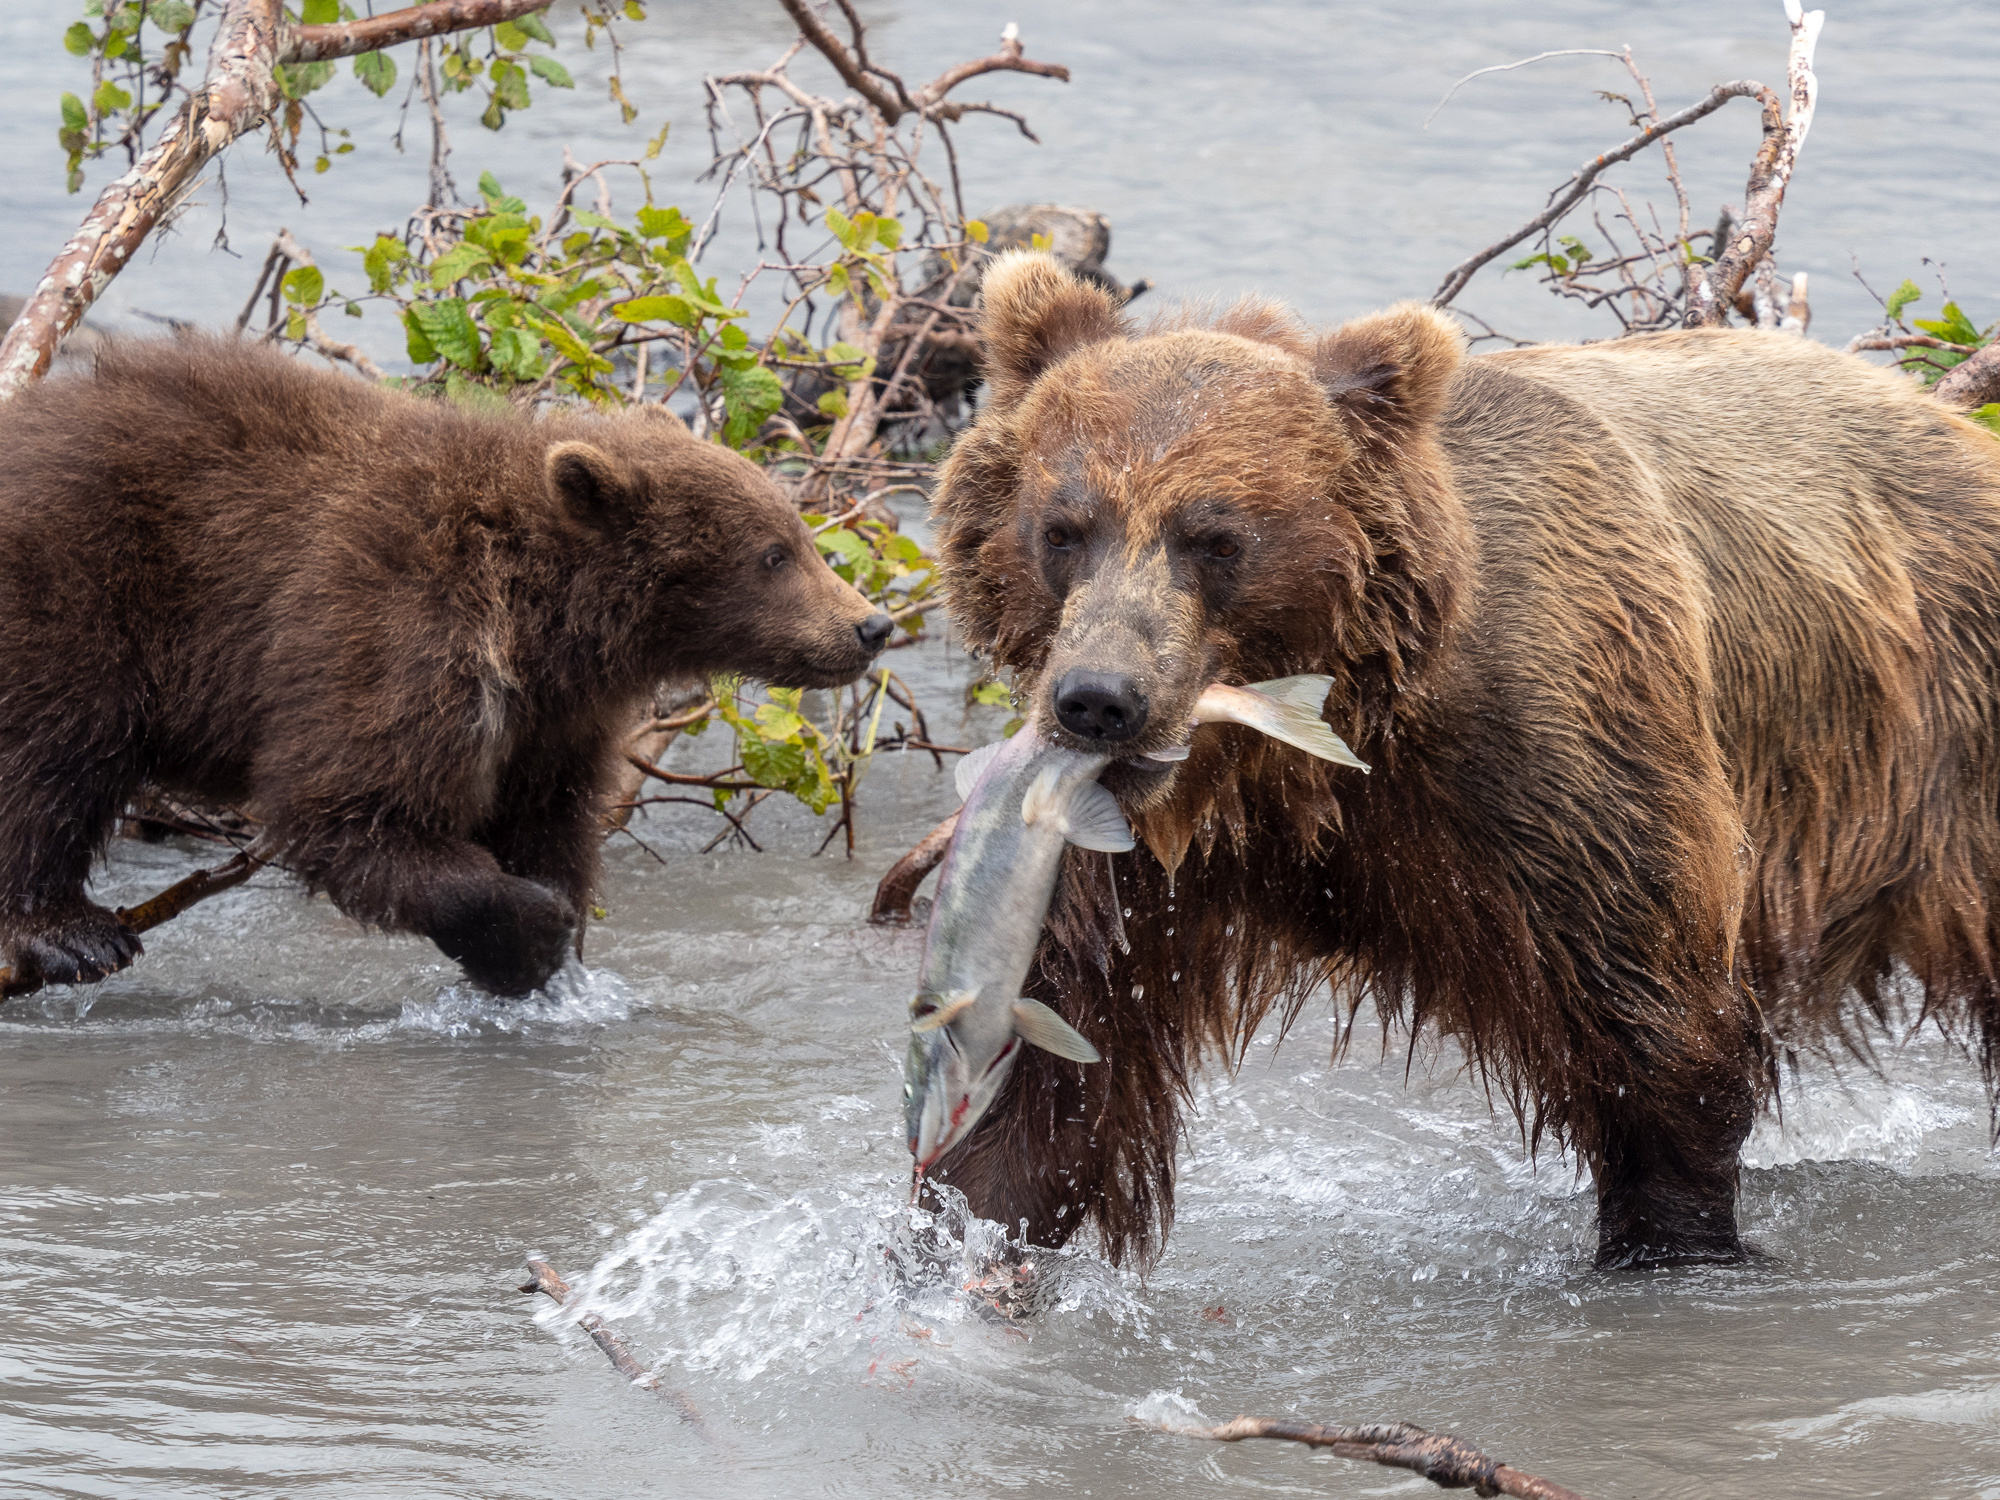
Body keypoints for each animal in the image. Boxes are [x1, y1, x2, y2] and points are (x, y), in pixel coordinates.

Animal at [0, 338, 892, 1000]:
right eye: (773, 554)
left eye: (798, 535)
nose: (871, 625)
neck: (543, 619)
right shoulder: (395, 632)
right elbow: (351, 809)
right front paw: (533, 934)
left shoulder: (551, 720)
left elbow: (548, 817)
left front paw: (553, 943)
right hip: (76, 594)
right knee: (50, 759)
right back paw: (74, 935)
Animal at [928, 253, 2000, 1272]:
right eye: (1063, 527)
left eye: (1218, 538)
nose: (1099, 700)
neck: (1307, 766)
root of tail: (1950, 420)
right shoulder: (1133, 849)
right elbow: (1059, 1060)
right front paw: (966, 1240)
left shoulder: (1555, 761)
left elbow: (1658, 1033)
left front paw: (1669, 1241)